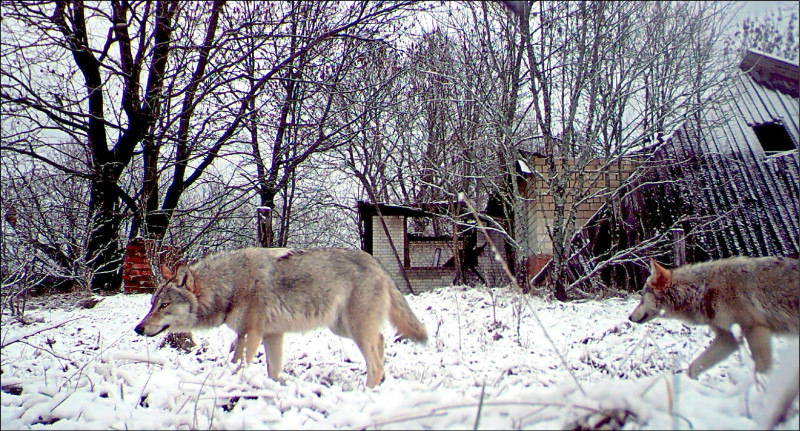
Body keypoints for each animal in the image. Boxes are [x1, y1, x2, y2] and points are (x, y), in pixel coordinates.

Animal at [134, 248, 428, 390]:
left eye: (164, 305)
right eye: (152, 304)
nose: (138, 328)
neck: (231, 285)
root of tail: (378, 265)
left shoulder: (250, 334)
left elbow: (240, 364)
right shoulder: (271, 335)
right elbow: (272, 371)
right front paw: (272, 388)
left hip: (354, 330)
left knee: (375, 361)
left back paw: (367, 393)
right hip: (343, 329)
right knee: (382, 340)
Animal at [628, 256, 796, 378]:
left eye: (642, 298)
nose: (629, 317)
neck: (703, 290)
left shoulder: (756, 330)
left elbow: (762, 370)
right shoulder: (728, 339)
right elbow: (694, 367)